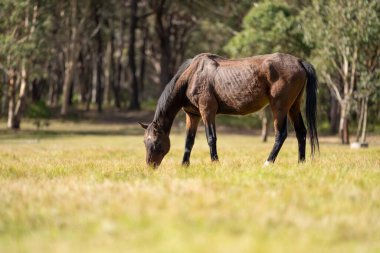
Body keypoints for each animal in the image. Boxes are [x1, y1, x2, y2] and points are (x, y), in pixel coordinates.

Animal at [140, 52, 318, 168]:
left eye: (156, 142)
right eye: (144, 142)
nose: (150, 167)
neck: (192, 75)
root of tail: (299, 61)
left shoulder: (207, 112)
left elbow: (211, 138)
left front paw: (215, 162)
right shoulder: (193, 115)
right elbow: (188, 140)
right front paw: (184, 165)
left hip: (279, 107)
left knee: (281, 134)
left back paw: (268, 162)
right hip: (293, 106)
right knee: (301, 132)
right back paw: (301, 163)